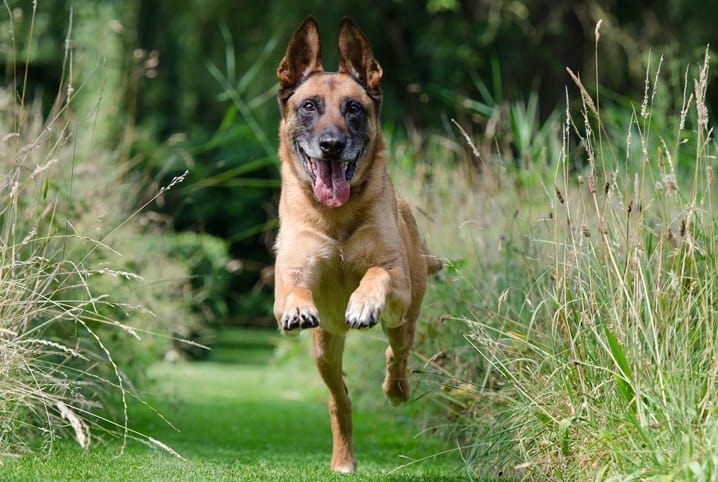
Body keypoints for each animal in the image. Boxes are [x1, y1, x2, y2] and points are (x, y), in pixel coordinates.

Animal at [272, 17, 442, 472]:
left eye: (353, 108)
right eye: (309, 106)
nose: (332, 145)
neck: (337, 217)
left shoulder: (395, 278)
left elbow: (377, 272)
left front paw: (363, 302)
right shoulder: (292, 272)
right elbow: (293, 289)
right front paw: (297, 307)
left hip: (405, 317)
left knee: (397, 355)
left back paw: (396, 389)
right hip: (325, 348)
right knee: (340, 400)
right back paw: (343, 458)